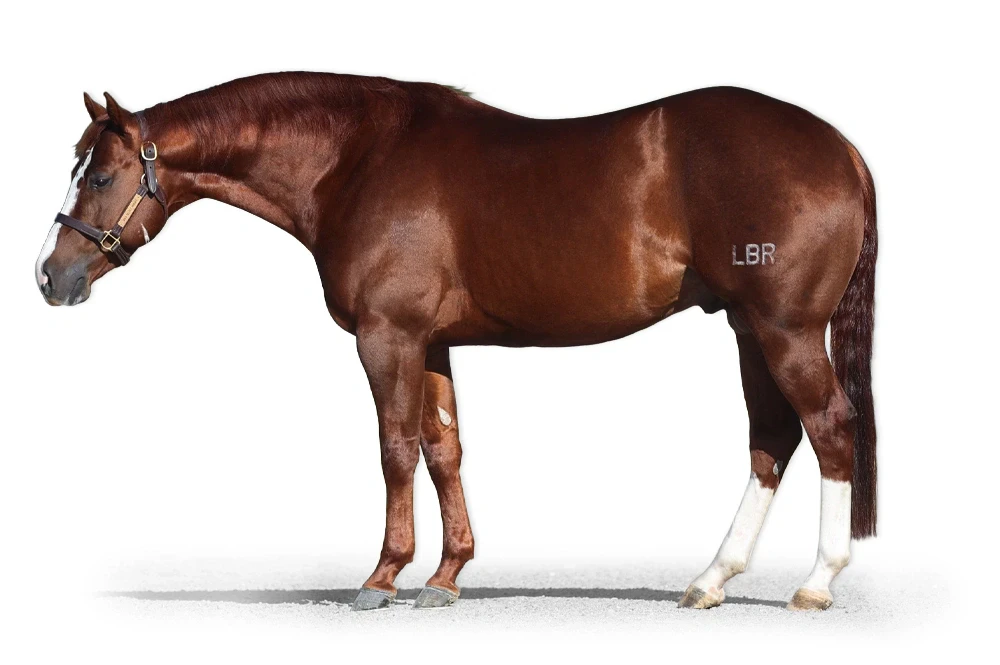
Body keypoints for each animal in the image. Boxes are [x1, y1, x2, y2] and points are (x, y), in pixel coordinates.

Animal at [35, 72, 876, 612]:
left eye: (101, 176)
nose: (49, 274)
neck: (356, 159)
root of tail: (841, 147)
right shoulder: (432, 343)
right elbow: (445, 449)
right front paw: (446, 576)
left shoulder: (387, 338)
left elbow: (395, 449)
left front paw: (383, 576)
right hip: (747, 327)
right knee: (772, 440)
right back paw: (711, 579)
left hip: (783, 330)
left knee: (829, 428)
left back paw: (816, 582)